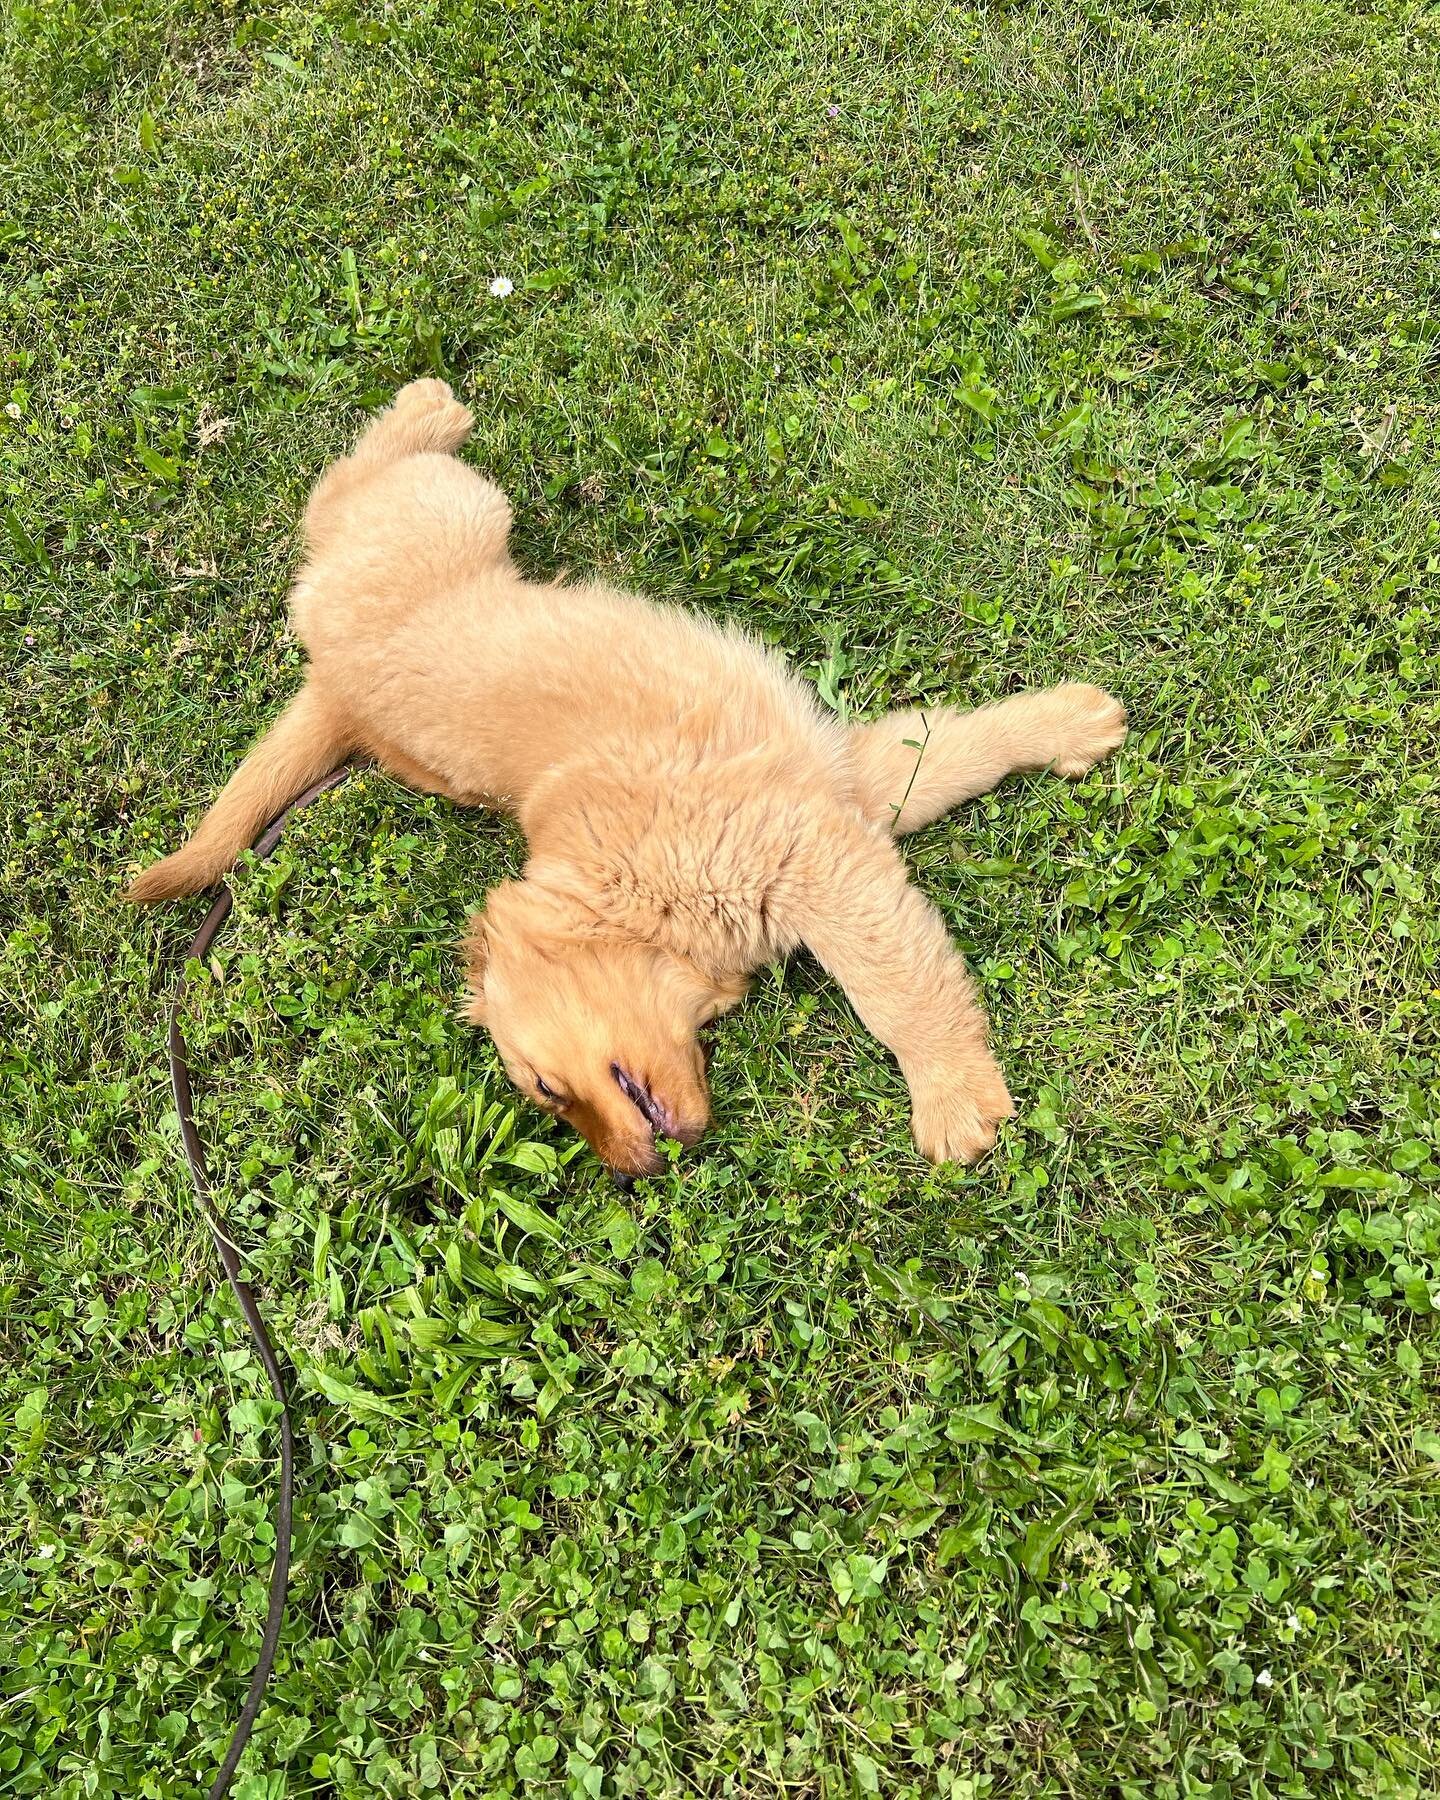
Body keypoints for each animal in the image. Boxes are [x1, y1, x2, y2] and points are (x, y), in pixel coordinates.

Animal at [129, 379, 1123, 1180]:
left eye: (541, 1087)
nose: (628, 1177)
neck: (619, 896)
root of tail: (332, 686)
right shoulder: (828, 830)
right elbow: (916, 920)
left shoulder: (825, 829)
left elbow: (900, 969)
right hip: (440, 524)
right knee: (337, 493)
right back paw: (430, 405)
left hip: (452, 513)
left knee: (344, 483)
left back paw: (428, 406)